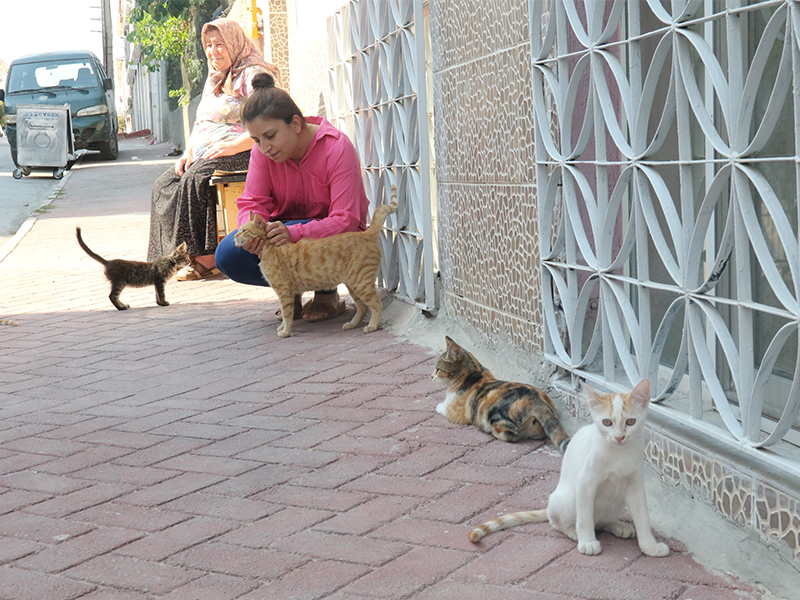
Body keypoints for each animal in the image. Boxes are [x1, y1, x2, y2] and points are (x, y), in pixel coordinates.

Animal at [234, 190, 400, 338]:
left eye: (244, 230)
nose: (235, 235)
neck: (270, 248)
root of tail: (366, 233)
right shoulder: (286, 292)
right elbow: (287, 313)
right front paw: (282, 327)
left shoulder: (284, 291)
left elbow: (287, 314)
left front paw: (285, 331)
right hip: (354, 285)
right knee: (363, 306)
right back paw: (352, 324)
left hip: (361, 283)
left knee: (376, 305)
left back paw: (372, 326)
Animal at [434, 336, 572, 452]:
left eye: (438, 370)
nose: (431, 376)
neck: (474, 373)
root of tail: (535, 400)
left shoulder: (454, 411)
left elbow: (443, 407)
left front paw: (438, 406)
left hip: (495, 415)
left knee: (511, 436)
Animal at [468, 380, 668, 556]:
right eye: (607, 422)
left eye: (631, 422)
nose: (619, 437)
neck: (618, 453)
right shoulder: (585, 481)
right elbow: (585, 517)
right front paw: (587, 542)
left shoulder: (635, 483)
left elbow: (642, 516)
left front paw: (650, 546)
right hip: (567, 499)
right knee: (558, 522)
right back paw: (574, 532)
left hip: (616, 502)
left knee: (600, 520)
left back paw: (617, 525)